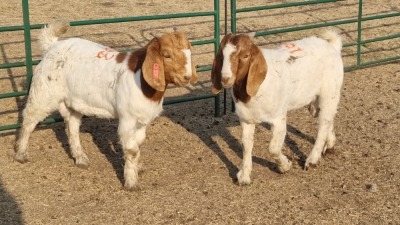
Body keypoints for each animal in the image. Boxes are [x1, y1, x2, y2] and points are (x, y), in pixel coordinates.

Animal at [14, 20, 198, 191]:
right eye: (166, 55)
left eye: (190, 52)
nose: (187, 77)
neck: (142, 81)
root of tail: (53, 45)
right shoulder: (127, 119)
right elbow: (132, 149)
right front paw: (131, 183)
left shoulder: (142, 120)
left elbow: (138, 144)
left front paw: (137, 168)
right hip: (43, 92)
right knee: (29, 119)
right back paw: (21, 154)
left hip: (73, 102)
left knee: (72, 126)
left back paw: (81, 158)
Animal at [211, 30, 346, 185]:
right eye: (222, 55)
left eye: (245, 56)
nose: (225, 79)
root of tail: (333, 46)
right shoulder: (246, 119)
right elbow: (246, 145)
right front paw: (244, 176)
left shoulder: (278, 118)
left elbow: (273, 148)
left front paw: (284, 166)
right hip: (316, 100)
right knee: (327, 118)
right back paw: (329, 145)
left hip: (330, 93)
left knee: (323, 123)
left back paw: (312, 160)